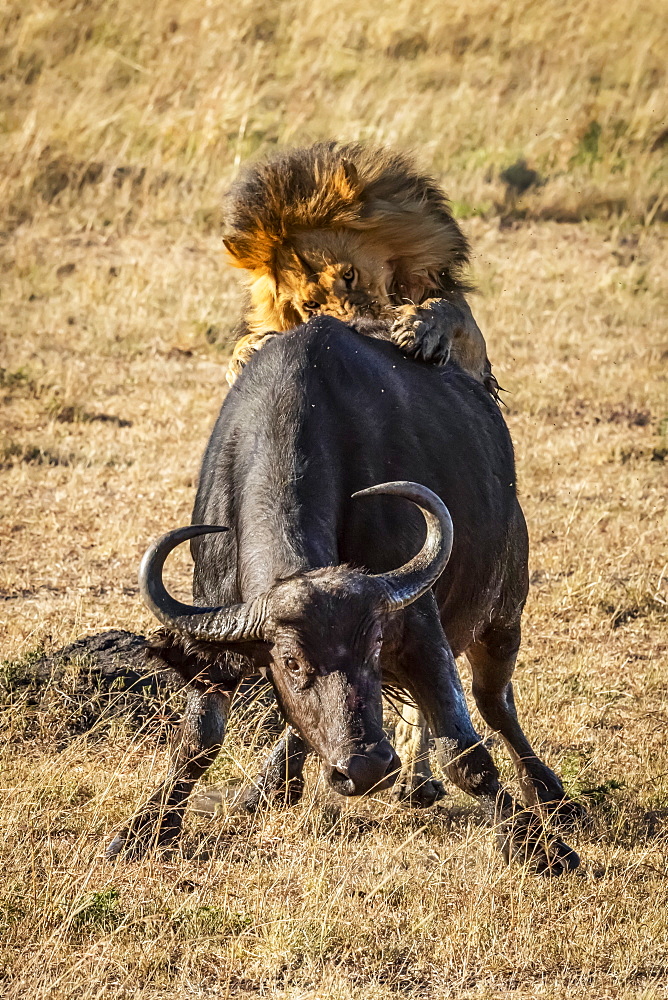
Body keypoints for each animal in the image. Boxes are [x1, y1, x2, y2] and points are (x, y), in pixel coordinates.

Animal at [223, 143, 496, 392]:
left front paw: (421, 327)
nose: (359, 333)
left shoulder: (473, 360)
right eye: (310, 305)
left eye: (349, 274)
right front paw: (245, 352)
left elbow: (447, 308)